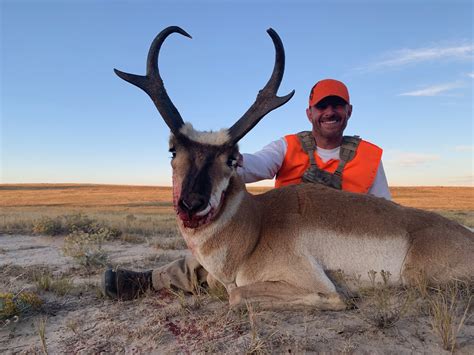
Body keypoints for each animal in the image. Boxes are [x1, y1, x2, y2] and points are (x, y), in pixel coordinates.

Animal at [115, 26, 474, 310]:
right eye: (173, 150)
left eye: (231, 158)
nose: (192, 204)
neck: (255, 226)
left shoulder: (307, 280)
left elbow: (239, 295)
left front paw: (347, 296)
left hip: (419, 277)